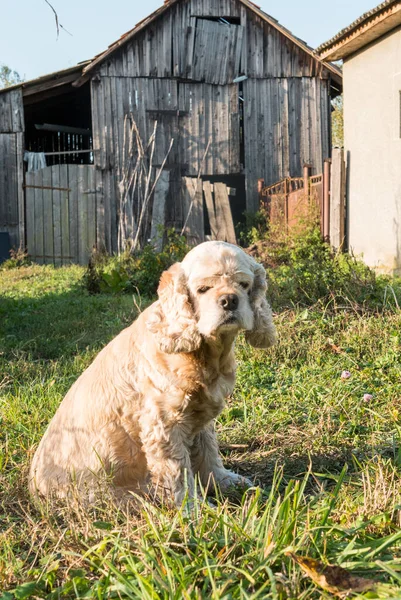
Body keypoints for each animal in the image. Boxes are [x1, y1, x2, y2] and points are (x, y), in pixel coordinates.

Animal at [29, 241, 276, 504]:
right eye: (203, 289)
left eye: (244, 284)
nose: (229, 300)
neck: (205, 354)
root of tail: (34, 487)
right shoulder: (164, 424)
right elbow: (178, 473)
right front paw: (192, 508)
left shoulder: (200, 414)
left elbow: (208, 450)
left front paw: (224, 481)